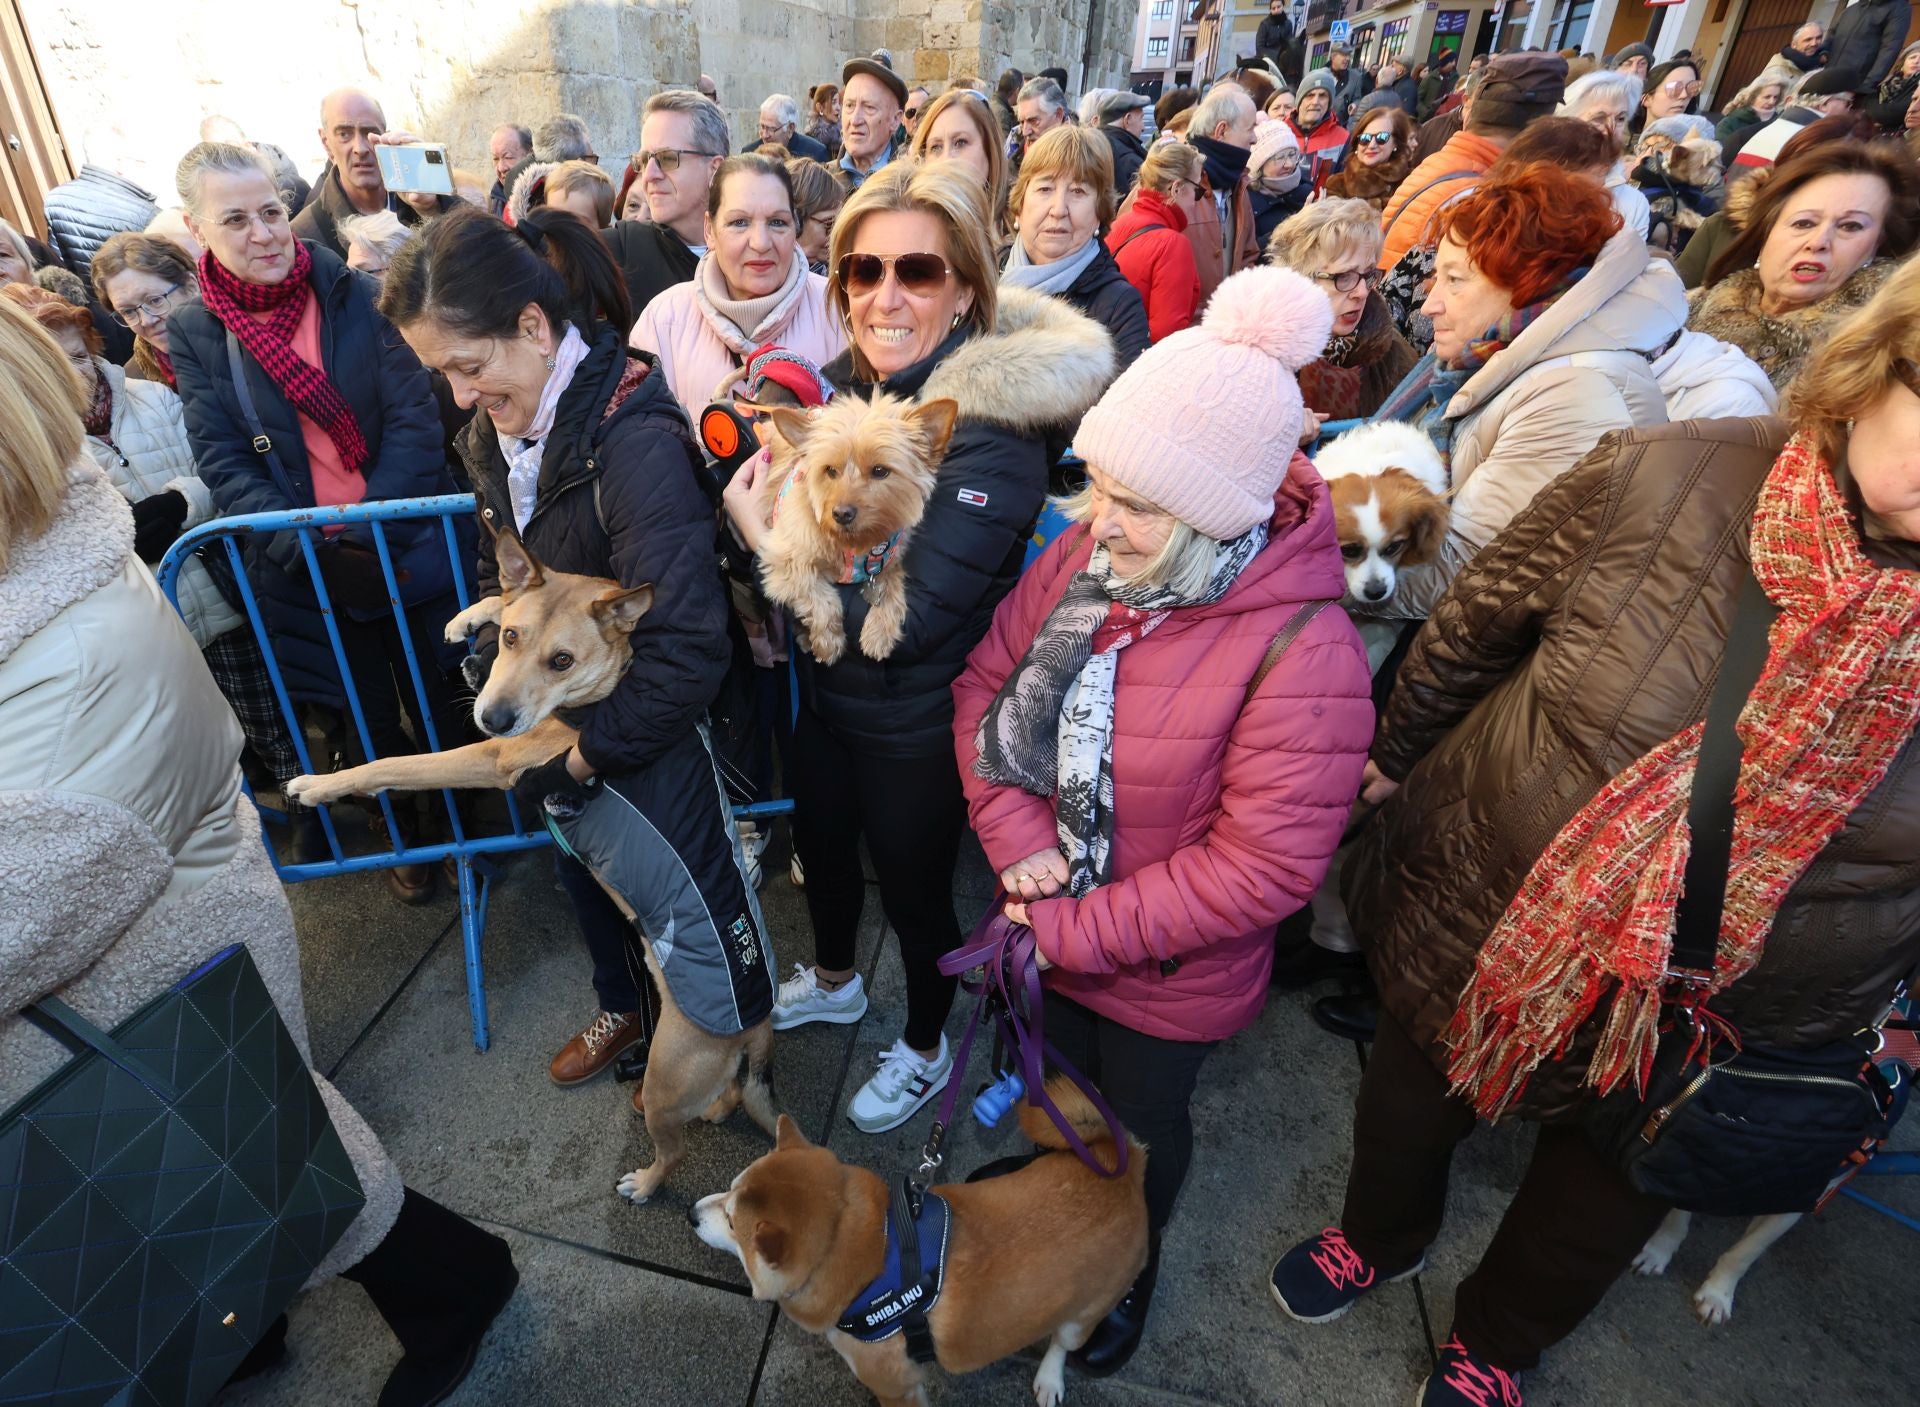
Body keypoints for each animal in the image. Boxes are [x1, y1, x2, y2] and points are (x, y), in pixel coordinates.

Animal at [752, 389, 956, 664]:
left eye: (880, 471)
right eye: (830, 470)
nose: (841, 514)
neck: (855, 544)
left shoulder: (891, 556)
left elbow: (893, 582)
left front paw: (879, 630)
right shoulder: (783, 560)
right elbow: (820, 597)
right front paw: (828, 643)